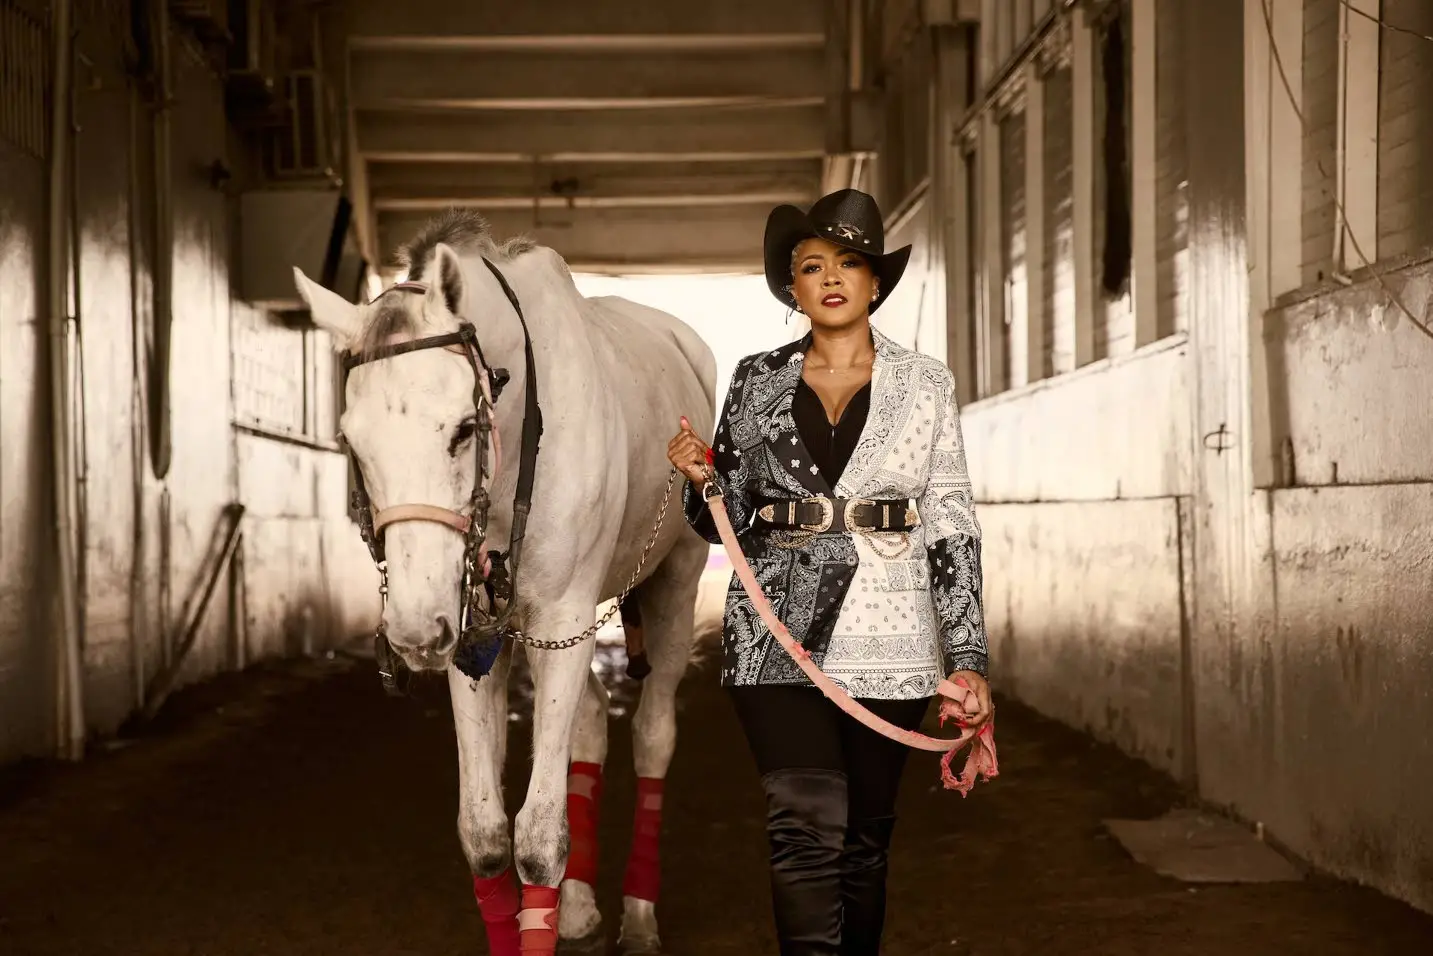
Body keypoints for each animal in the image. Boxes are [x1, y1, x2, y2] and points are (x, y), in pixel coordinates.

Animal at [292, 210, 716, 956]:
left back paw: (639, 915)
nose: (411, 629)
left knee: (653, 732)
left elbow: (539, 839)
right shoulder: (472, 634)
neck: (522, 435)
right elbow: (486, 834)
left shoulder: (561, 615)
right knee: (589, 722)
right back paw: (579, 908)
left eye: (464, 428)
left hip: (674, 580)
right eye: (350, 440)